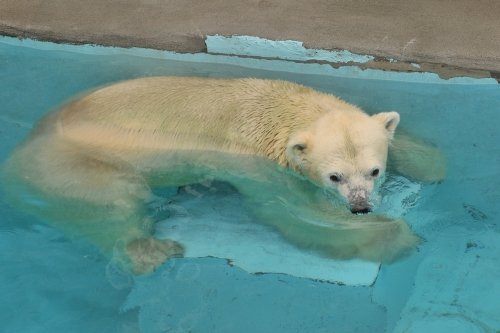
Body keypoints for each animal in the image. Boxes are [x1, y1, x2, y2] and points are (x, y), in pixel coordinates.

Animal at [0, 76, 446, 274]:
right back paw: (151, 251)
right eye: (334, 177)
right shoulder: (255, 162)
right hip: (65, 167)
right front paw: (395, 237)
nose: (360, 207)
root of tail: (19, 151)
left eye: (374, 170)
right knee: (114, 199)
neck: (279, 108)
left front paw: (432, 162)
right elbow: (293, 210)